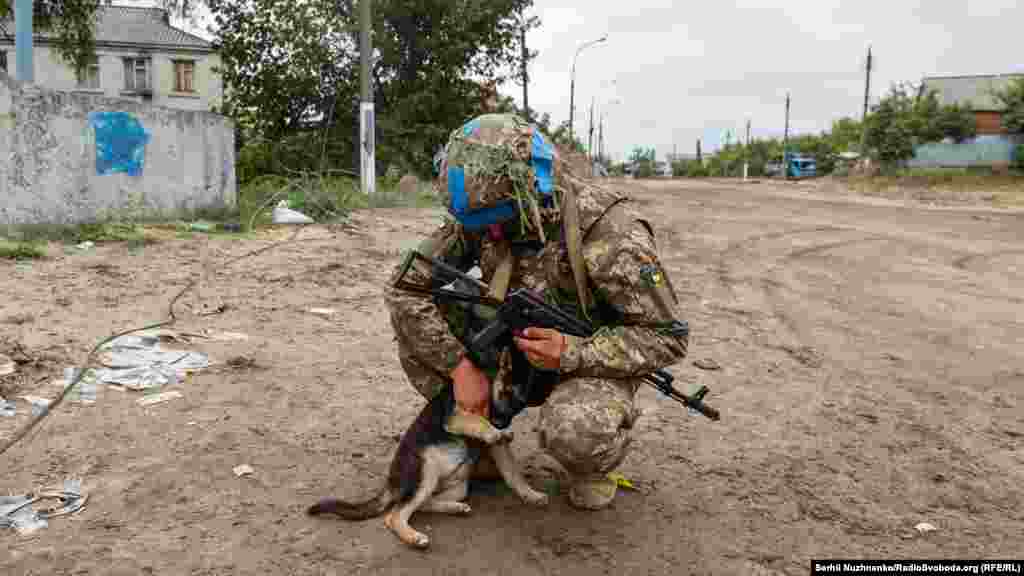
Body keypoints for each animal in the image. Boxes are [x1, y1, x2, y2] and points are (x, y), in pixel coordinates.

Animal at [305, 373, 552, 545]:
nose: (502, 423)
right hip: (425, 471)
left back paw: (456, 507)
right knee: (395, 515)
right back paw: (414, 537)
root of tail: (391, 483)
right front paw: (493, 430)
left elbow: (513, 474)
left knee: (423, 504)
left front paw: (531, 494)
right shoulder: (456, 417)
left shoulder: (497, 448)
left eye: (520, 403)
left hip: (456, 486)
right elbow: (478, 421)